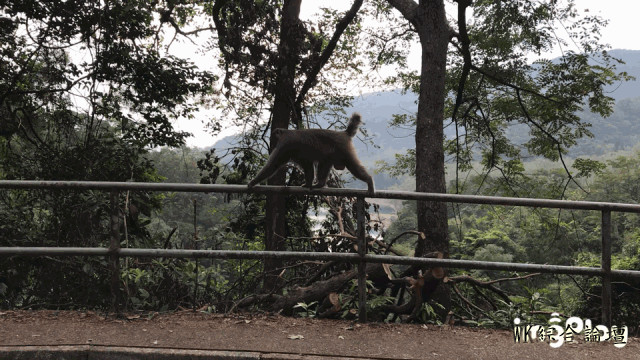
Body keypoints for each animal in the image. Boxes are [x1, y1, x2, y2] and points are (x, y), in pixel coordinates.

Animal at [246, 114, 376, 195]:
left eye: (275, 136)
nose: (272, 142)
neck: (284, 133)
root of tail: (344, 133)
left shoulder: (284, 144)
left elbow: (273, 165)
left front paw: (253, 181)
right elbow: (307, 165)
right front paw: (308, 183)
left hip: (343, 148)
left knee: (352, 165)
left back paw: (369, 180)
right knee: (324, 163)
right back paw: (320, 184)